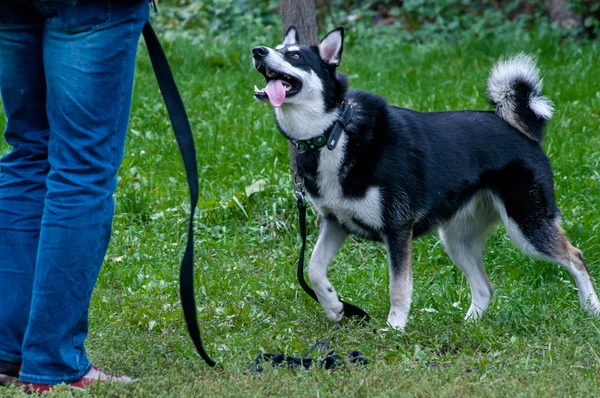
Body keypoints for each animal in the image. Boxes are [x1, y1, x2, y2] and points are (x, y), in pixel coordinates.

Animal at [252, 25, 600, 330]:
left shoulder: (397, 228)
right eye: (277, 48)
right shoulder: (335, 222)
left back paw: (591, 308)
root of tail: (521, 129)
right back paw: (469, 324)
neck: (334, 133)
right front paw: (335, 307)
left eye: (295, 55)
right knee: (485, 287)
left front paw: (394, 327)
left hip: (527, 226)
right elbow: (313, 269)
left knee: (576, 256)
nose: (258, 51)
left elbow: (398, 287)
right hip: (458, 240)